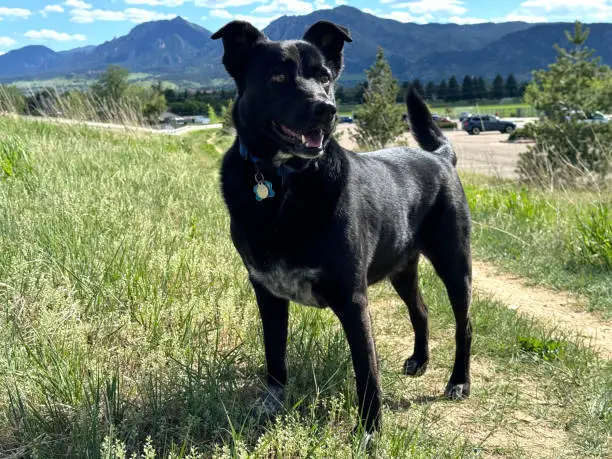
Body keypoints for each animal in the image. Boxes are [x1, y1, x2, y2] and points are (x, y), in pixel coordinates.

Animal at [210, 18, 474, 434]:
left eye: (324, 76)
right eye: (278, 77)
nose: (327, 109)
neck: (285, 181)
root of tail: (441, 157)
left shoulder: (352, 299)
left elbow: (367, 371)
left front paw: (369, 432)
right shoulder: (267, 291)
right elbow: (274, 353)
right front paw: (271, 403)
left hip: (455, 265)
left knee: (465, 325)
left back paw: (459, 380)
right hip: (402, 268)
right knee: (421, 310)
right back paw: (420, 360)